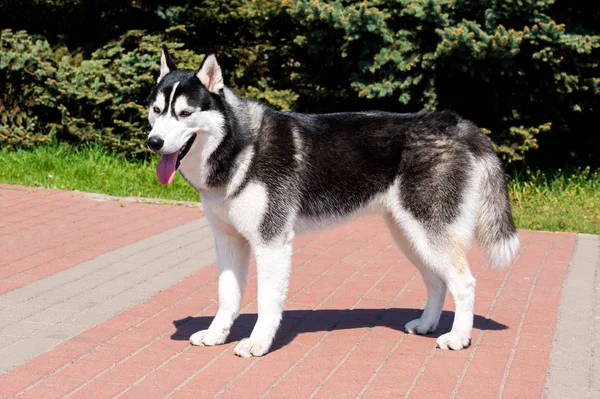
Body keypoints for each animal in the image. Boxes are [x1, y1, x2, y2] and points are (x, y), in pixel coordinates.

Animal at [146, 47, 520, 360]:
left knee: (464, 284)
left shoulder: (271, 242)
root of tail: (455, 122)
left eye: (185, 113)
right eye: (156, 110)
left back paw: (458, 337)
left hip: (429, 233)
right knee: (437, 281)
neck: (239, 147)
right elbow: (227, 296)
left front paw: (258, 342)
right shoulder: (228, 240)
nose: (153, 142)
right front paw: (216, 334)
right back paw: (428, 324)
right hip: (410, 236)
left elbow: (267, 302)